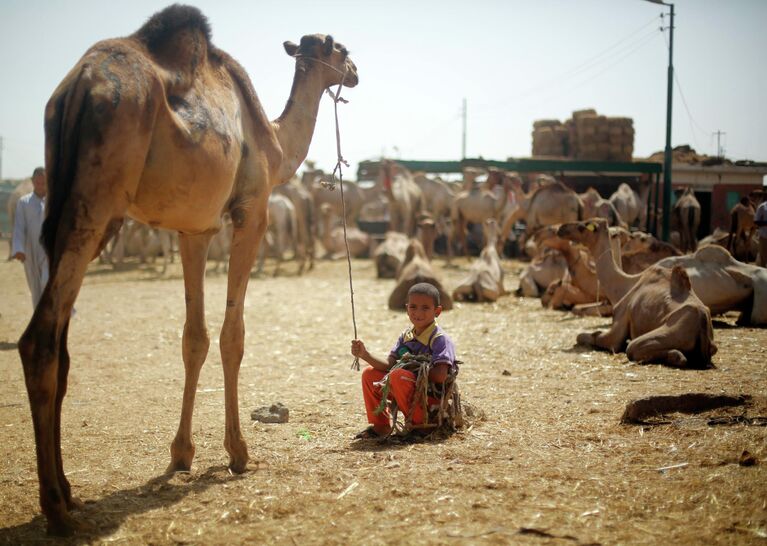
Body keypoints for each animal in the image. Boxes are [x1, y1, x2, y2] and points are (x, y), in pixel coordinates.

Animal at [17, 5, 360, 532]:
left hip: (65, 202)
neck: (275, 143)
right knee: (40, 339)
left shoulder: (192, 230)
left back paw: (70, 493)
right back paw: (56, 508)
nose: (357, 71)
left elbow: (193, 337)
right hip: (95, 203)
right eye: (340, 49)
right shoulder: (252, 212)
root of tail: (77, 88)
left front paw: (181, 454)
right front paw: (238, 453)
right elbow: (232, 334)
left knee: (61, 343)